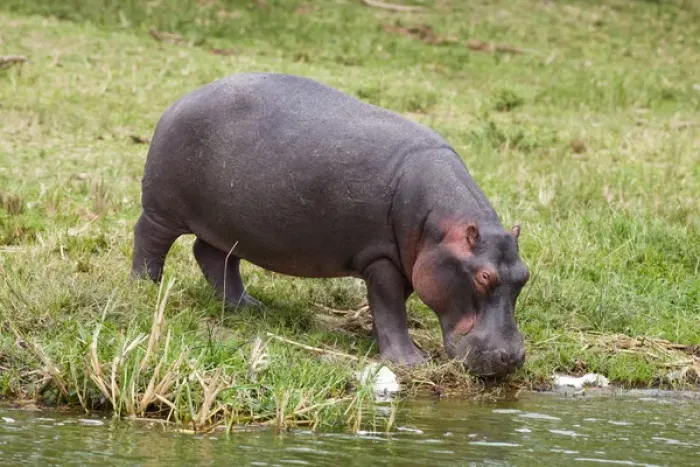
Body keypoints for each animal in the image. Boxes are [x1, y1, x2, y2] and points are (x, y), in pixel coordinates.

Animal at [131, 72, 530, 377]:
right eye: (483, 277)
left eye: (524, 276)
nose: (512, 358)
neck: (442, 227)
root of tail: (185, 97)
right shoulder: (381, 257)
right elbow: (390, 305)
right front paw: (411, 361)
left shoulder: (407, 261)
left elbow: (390, 306)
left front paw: (374, 338)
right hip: (163, 209)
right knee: (149, 238)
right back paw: (147, 285)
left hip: (230, 226)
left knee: (212, 255)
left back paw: (247, 306)